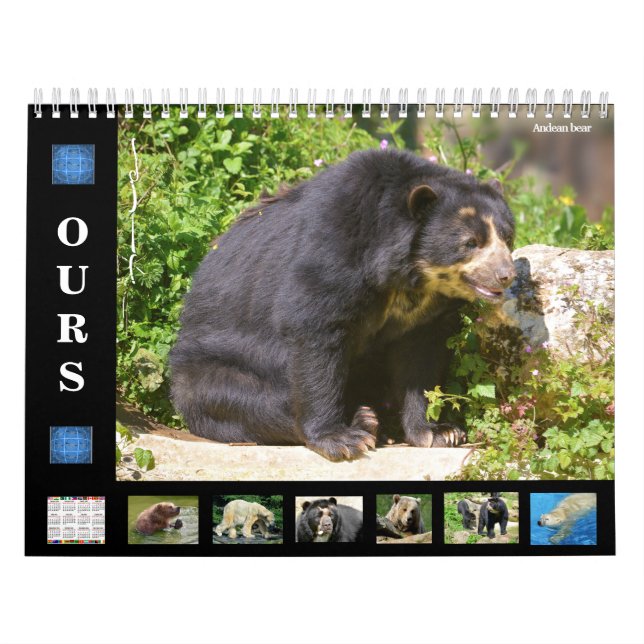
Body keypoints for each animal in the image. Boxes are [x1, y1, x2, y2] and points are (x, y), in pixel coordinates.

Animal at [170, 148, 516, 461]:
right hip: (207, 370)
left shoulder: (426, 315)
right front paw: (340, 440)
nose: (506, 275)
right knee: (246, 400)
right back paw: (363, 421)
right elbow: (316, 331)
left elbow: (421, 359)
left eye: (507, 237)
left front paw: (438, 432)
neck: (408, 277)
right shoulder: (333, 252)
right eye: (470, 243)